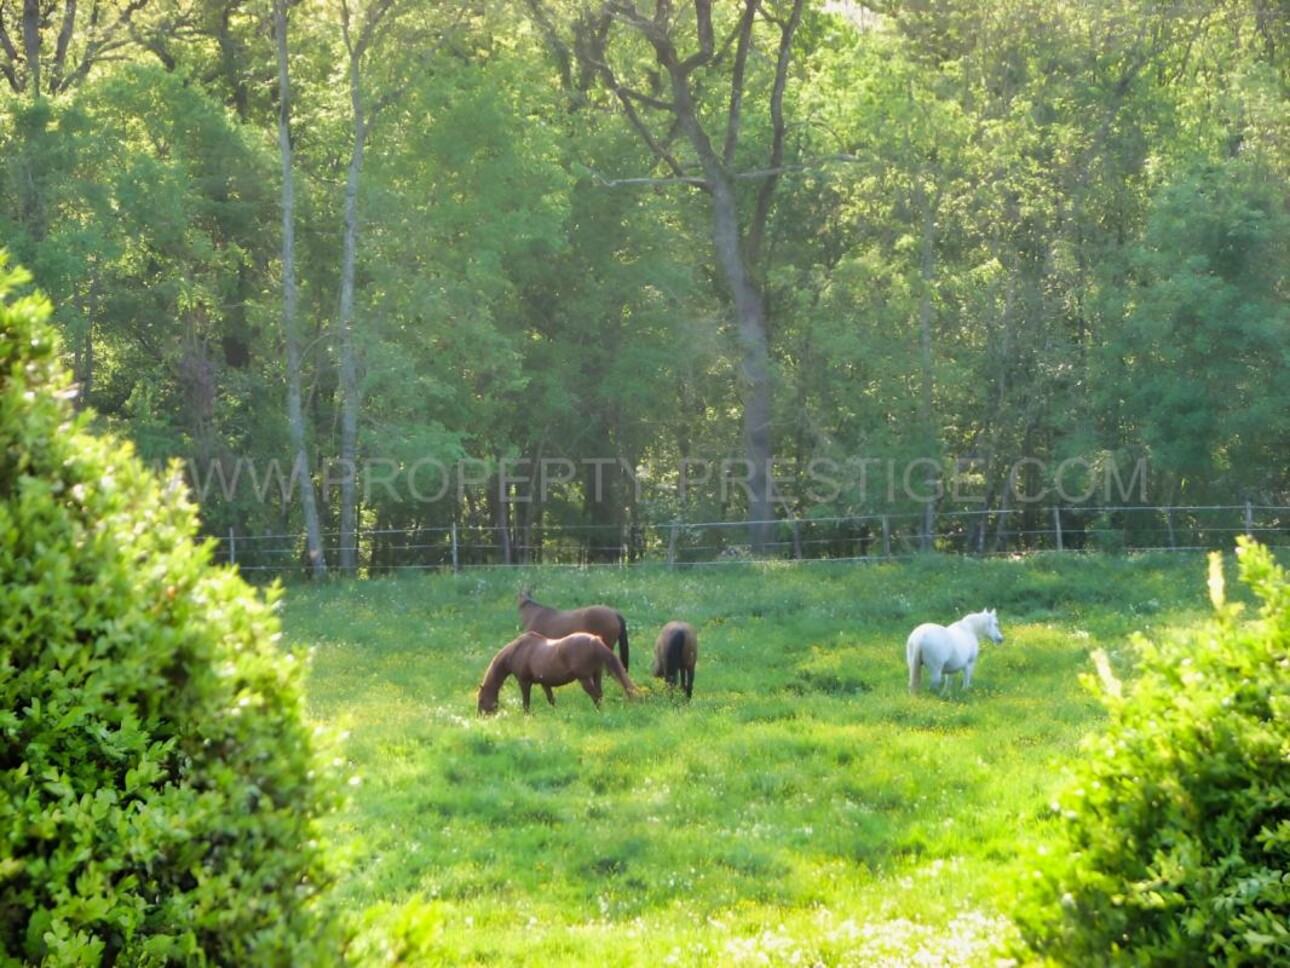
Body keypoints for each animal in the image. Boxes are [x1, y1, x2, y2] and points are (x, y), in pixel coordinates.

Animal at [477, 632, 637, 717]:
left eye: (480, 699)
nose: (480, 717)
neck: (517, 651)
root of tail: (594, 641)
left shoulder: (524, 682)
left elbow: (526, 702)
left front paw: (526, 717)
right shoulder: (544, 683)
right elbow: (551, 700)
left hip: (584, 679)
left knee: (596, 696)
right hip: (596, 675)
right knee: (599, 694)